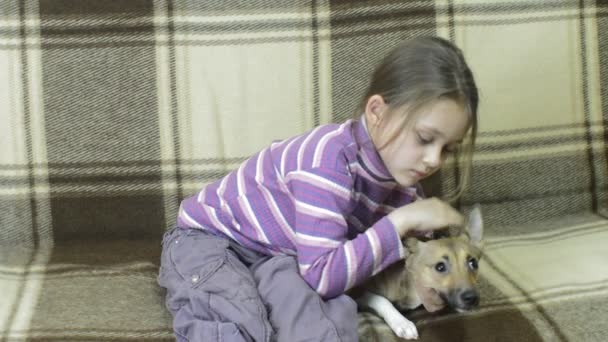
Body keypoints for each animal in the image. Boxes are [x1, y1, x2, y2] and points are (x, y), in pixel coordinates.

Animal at [352, 206, 484, 340]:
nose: (472, 298)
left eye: (473, 263)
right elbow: (382, 300)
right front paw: (402, 322)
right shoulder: (357, 293)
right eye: (440, 267)